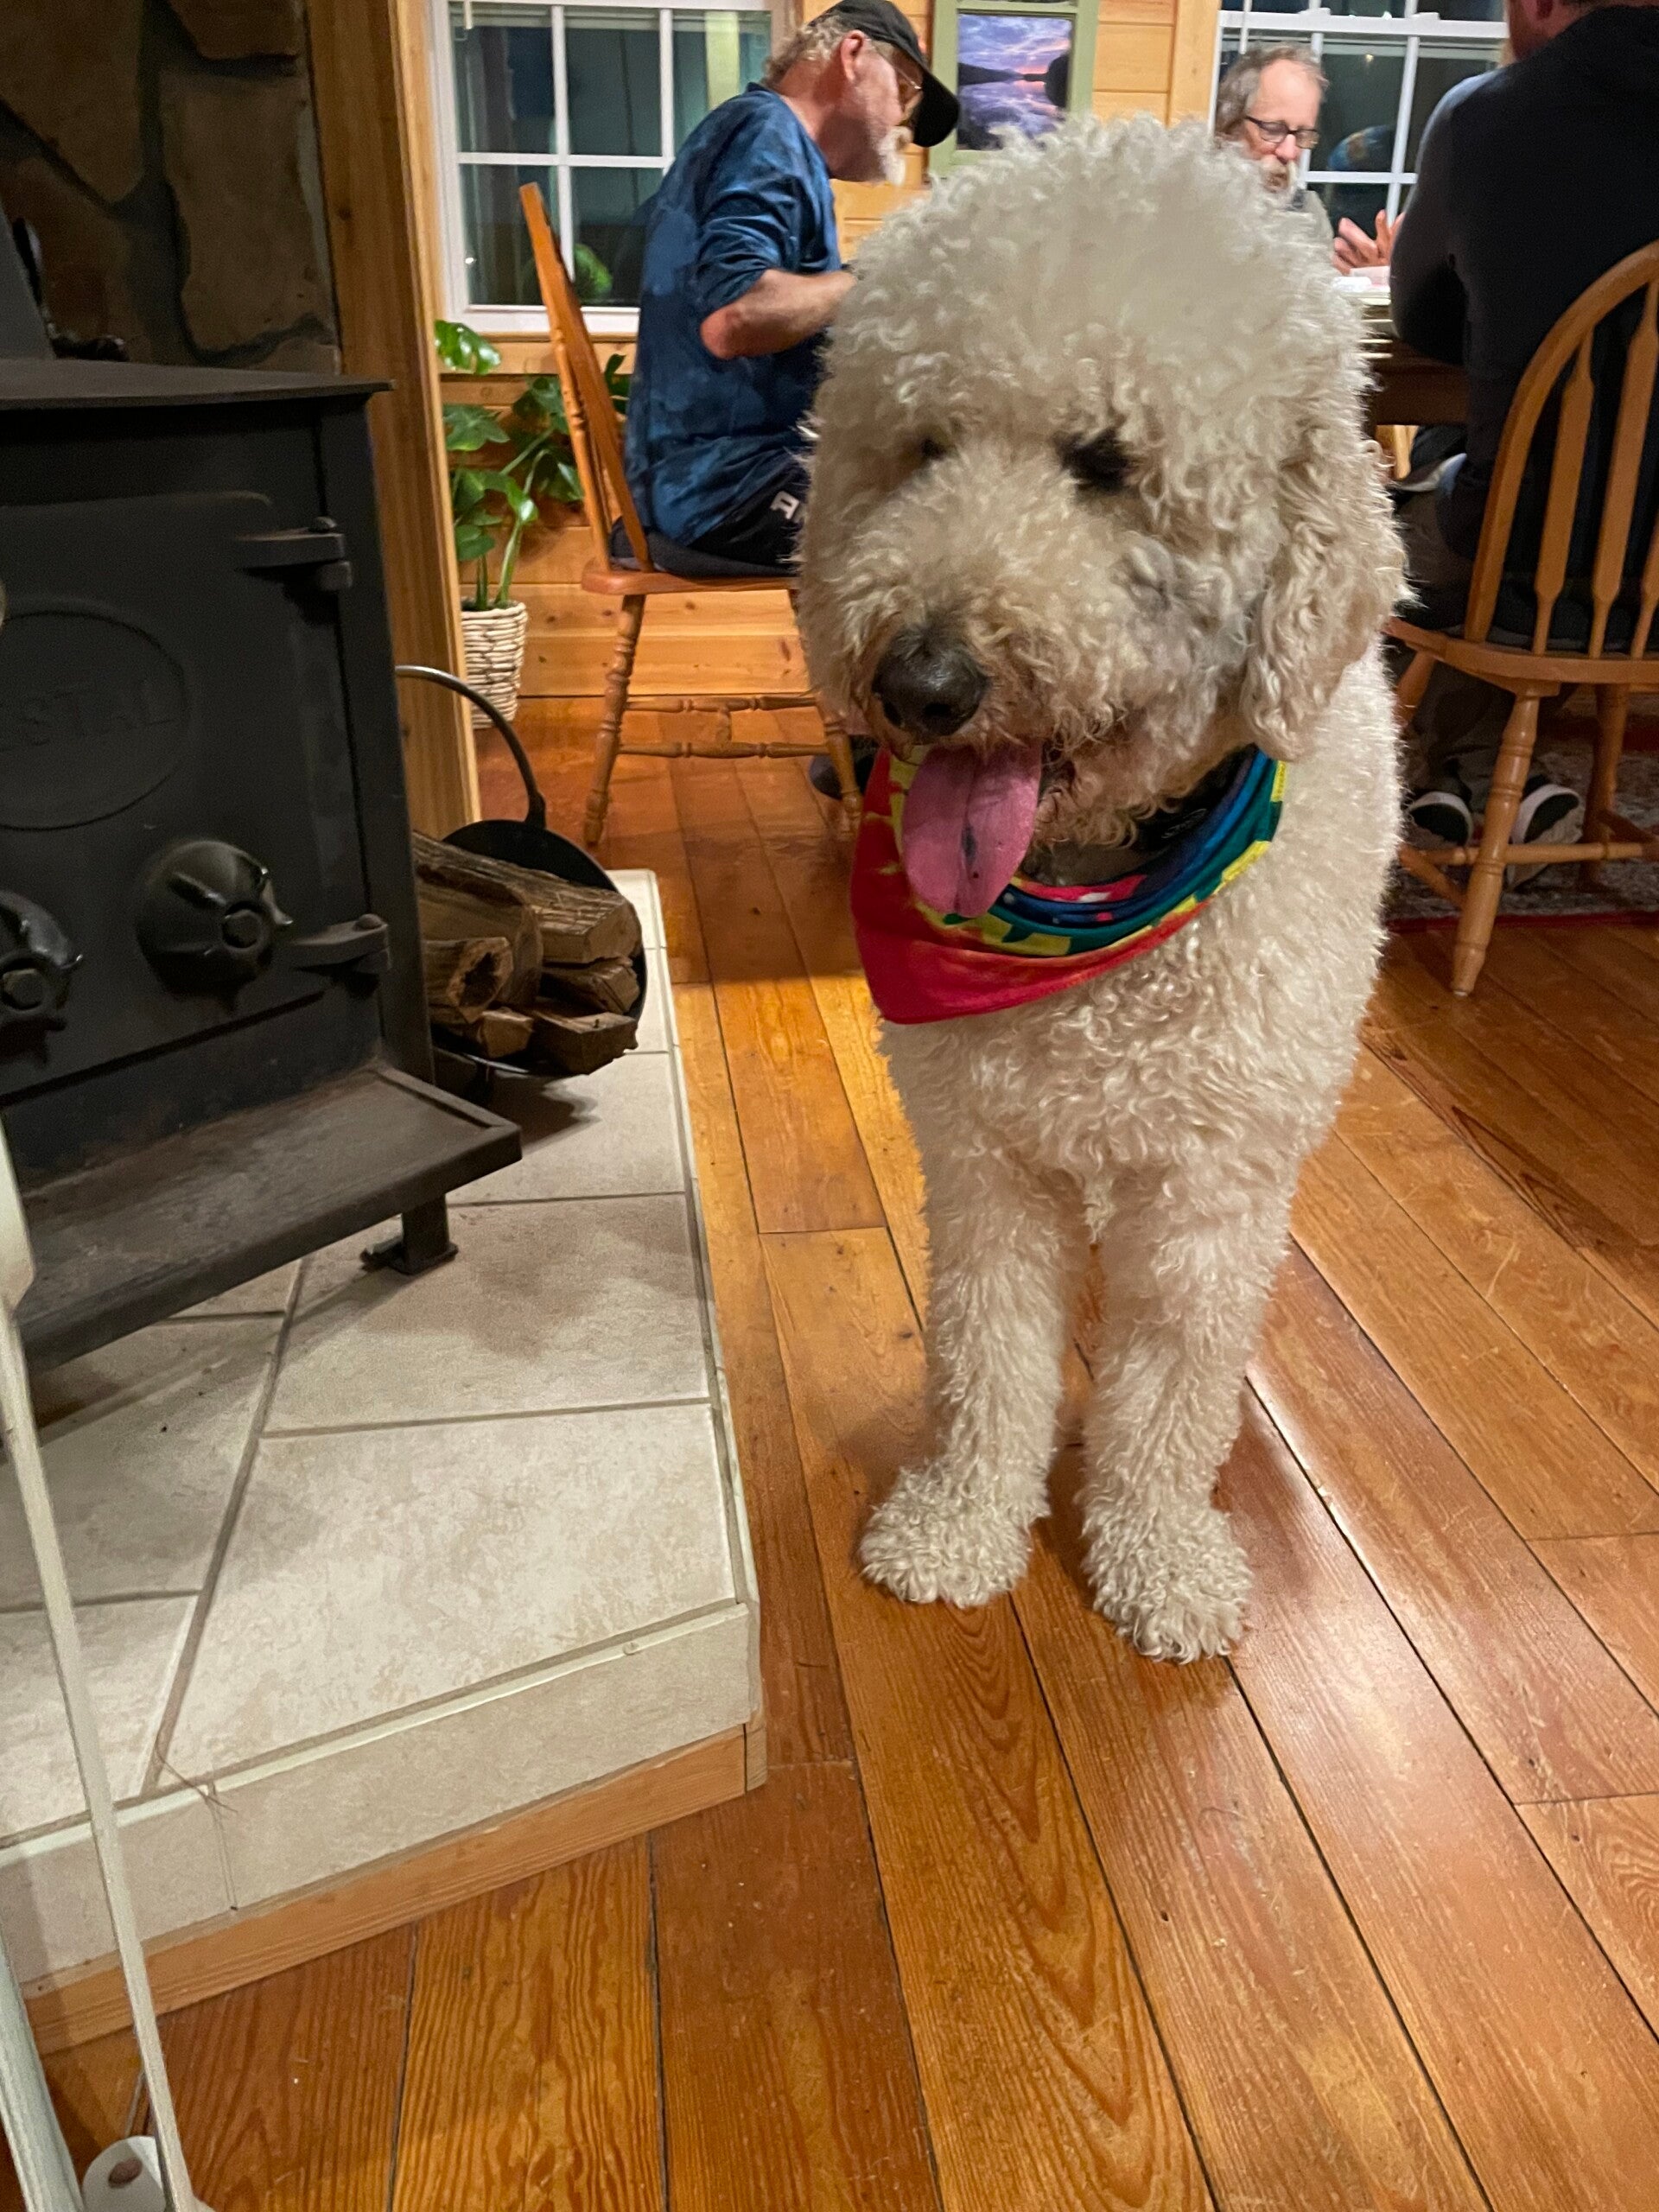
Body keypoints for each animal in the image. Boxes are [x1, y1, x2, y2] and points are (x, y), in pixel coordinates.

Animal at [796, 118, 1403, 1660]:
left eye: (1108, 460)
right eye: (925, 448)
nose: (921, 680)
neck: (1091, 900)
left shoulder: (1207, 1191)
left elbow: (1169, 1395)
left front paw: (1156, 1557)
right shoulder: (985, 1161)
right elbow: (988, 1360)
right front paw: (961, 1525)